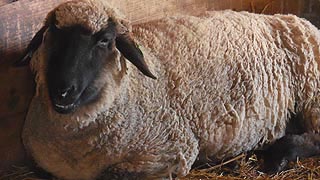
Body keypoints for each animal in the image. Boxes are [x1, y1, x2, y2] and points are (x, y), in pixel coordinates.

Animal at [16, 0, 320, 179]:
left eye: (104, 40)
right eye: (51, 34)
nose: (62, 90)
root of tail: (294, 18)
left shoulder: (167, 154)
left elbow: (113, 174)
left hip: (312, 95)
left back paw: (277, 157)